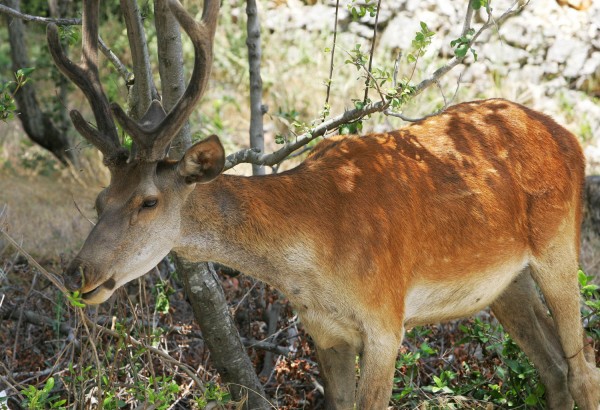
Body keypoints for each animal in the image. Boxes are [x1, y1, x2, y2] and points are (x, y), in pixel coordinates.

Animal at [48, 0, 600, 406]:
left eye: (148, 201)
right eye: (100, 199)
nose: (80, 272)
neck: (314, 253)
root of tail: (569, 137)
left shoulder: (386, 320)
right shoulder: (324, 332)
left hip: (559, 246)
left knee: (583, 369)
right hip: (505, 284)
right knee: (554, 368)